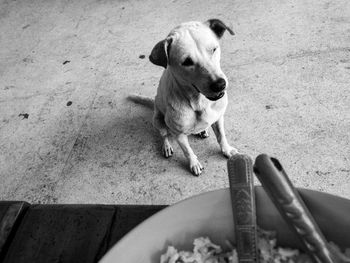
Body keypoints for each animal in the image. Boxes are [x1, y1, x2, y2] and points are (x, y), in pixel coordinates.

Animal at [130, 18, 239, 175]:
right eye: (187, 62)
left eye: (213, 49)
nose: (220, 85)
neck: (199, 102)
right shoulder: (179, 135)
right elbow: (188, 151)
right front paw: (194, 163)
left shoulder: (218, 118)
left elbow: (221, 137)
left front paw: (227, 150)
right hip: (157, 120)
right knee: (164, 134)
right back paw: (167, 146)